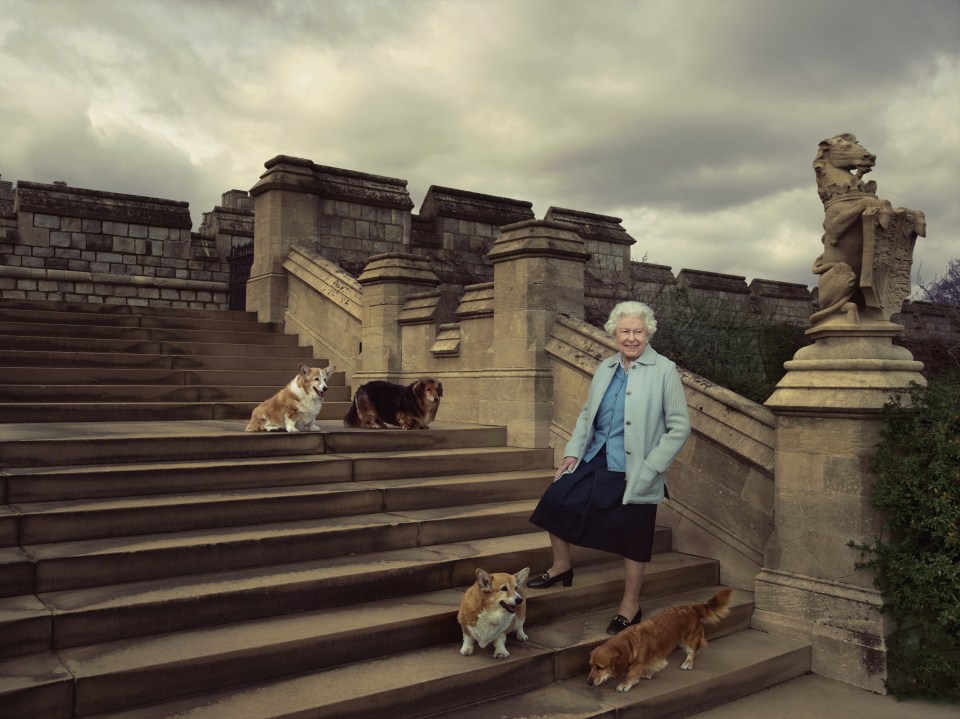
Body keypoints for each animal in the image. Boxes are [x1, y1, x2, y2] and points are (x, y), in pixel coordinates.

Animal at [584, 588, 736, 696]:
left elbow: (631, 674)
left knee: (692, 652)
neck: (629, 643)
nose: (588, 682)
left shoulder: (639, 663)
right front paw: (648, 673)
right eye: (590, 666)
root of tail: (692, 607)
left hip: (689, 640)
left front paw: (624, 684)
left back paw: (688, 663)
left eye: (600, 667)